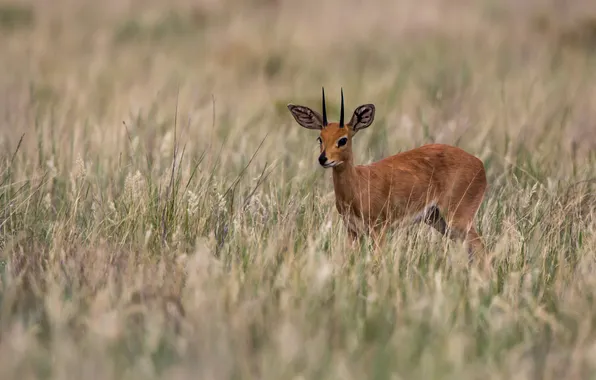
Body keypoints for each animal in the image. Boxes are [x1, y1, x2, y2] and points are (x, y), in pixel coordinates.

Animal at [288, 88, 488, 262]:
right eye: (320, 138)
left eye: (343, 139)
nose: (323, 159)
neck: (358, 185)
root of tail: (480, 164)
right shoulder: (352, 231)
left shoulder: (379, 229)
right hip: (439, 220)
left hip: (457, 217)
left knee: (480, 247)